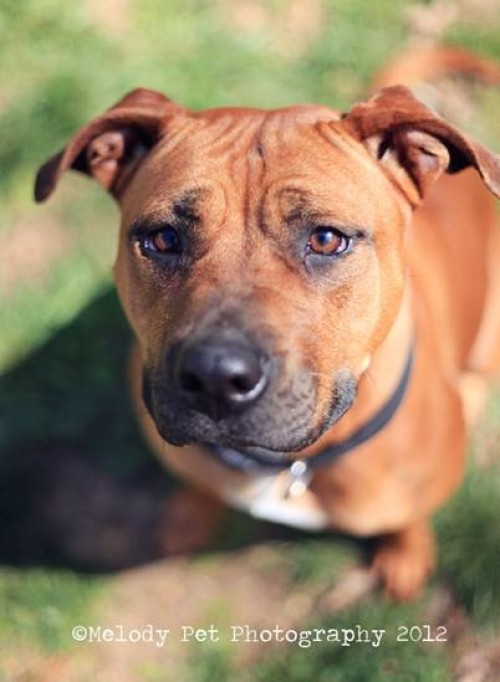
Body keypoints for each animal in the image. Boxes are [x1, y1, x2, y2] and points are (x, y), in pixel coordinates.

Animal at [35, 49, 500, 600]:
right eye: (163, 238)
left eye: (326, 239)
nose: (216, 377)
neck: (285, 468)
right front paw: (192, 512)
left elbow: (407, 519)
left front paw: (405, 553)